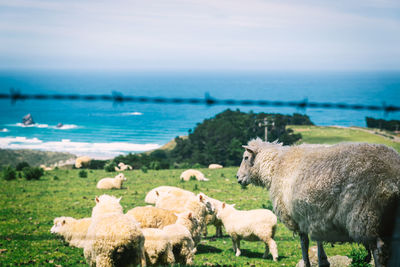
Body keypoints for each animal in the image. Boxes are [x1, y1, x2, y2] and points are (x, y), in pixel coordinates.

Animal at [236, 138, 400, 267]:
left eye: (245, 157)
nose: (237, 178)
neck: (276, 166)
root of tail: (393, 178)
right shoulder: (317, 217)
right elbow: (319, 242)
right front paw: (323, 261)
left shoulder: (298, 218)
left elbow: (304, 243)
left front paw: (307, 263)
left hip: (368, 216)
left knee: (379, 249)